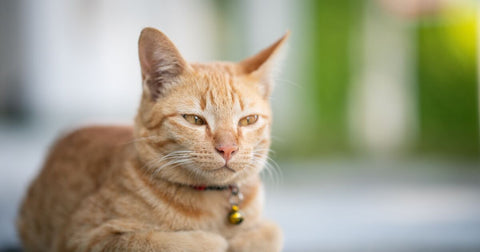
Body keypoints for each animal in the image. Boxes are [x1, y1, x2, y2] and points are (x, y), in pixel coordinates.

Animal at [16, 28, 288, 252]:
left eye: (248, 120)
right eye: (194, 119)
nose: (228, 149)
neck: (212, 201)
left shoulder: (268, 228)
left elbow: (269, 233)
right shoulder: (83, 236)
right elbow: (162, 242)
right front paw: (212, 241)